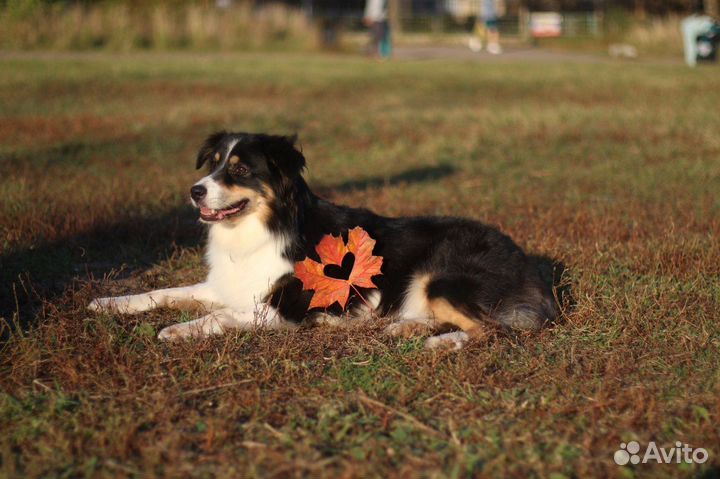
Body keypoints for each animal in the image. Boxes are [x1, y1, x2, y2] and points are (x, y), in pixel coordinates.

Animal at [90, 131, 560, 348]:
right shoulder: (226, 285)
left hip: (442, 276)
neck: (262, 229)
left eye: (240, 170)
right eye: (215, 164)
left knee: (492, 330)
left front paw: (179, 329)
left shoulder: (282, 309)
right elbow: (163, 291)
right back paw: (406, 327)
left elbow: (219, 317)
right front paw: (109, 303)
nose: (195, 190)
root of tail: (530, 268)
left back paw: (440, 342)